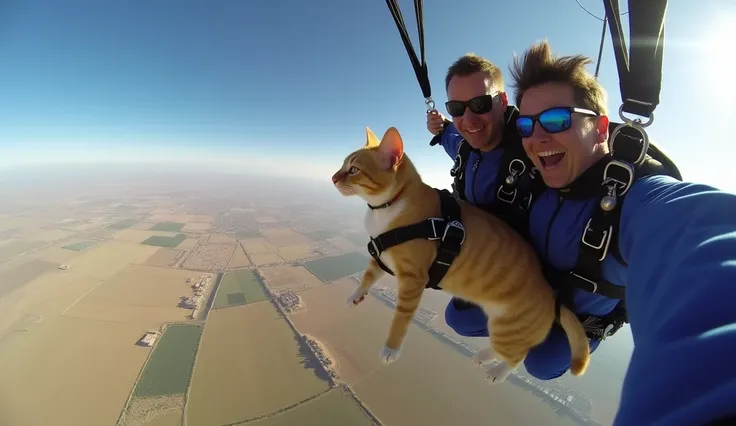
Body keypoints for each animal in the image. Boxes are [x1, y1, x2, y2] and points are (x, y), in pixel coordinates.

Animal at [334, 125, 592, 382]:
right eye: (343, 165)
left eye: (354, 170)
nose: (334, 178)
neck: (391, 205)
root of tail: (550, 293)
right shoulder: (383, 256)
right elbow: (368, 276)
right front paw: (355, 296)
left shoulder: (412, 279)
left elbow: (401, 317)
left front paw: (391, 349)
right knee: (505, 349)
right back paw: (485, 356)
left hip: (508, 330)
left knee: (519, 355)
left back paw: (498, 372)